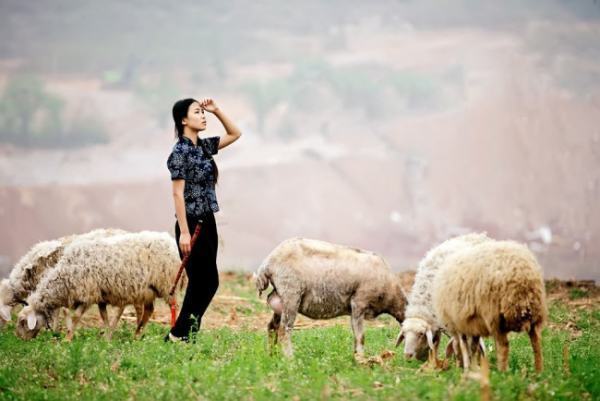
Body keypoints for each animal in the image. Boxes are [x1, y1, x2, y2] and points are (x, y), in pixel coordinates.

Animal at [17, 230, 183, 340]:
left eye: (23, 322)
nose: (20, 339)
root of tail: (171, 242)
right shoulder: (100, 296)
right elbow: (104, 317)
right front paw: (107, 337)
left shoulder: (87, 294)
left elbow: (76, 316)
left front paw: (68, 338)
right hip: (148, 290)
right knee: (148, 311)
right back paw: (136, 335)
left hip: (167, 285)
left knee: (174, 306)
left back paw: (171, 331)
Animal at [254, 238, 408, 356]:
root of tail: (267, 263)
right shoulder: (359, 302)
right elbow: (360, 337)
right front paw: (361, 359)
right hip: (291, 294)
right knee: (284, 330)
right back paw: (290, 359)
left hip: (280, 298)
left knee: (272, 327)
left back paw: (272, 356)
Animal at [432, 238, 548, 372]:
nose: (457, 366)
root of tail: (521, 275)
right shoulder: (473, 324)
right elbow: (473, 346)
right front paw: (473, 366)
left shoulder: (460, 323)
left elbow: (465, 346)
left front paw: (467, 367)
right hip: (536, 312)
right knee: (536, 342)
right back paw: (538, 371)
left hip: (495, 316)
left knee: (504, 345)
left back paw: (502, 371)